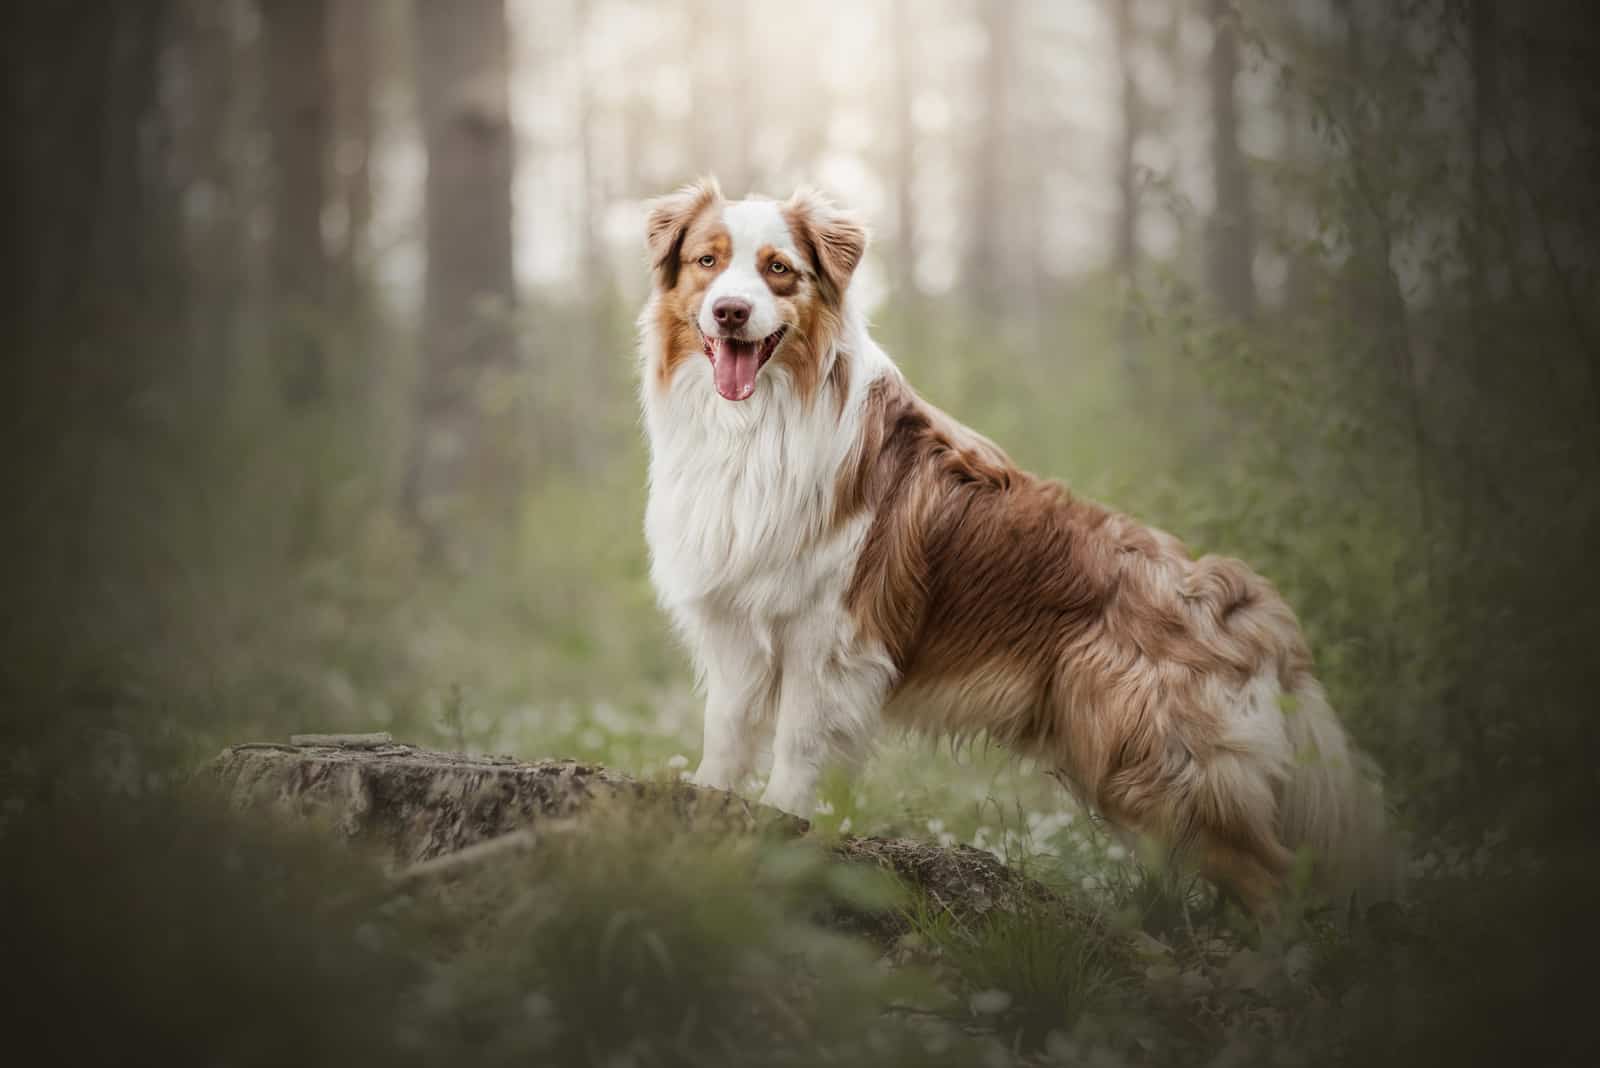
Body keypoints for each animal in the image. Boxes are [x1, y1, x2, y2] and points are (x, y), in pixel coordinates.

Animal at [636, 177, 1401, 920]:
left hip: (1156, 766)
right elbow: (726, 732)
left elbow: (797, 749)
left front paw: (778, 830)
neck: (755, 425)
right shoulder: (735, 624)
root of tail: (1243, 601)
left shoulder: (827, 640)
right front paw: (706, 809)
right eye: (708, 262)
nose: (731, 312)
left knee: (1279, 881)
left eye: (780, 270)